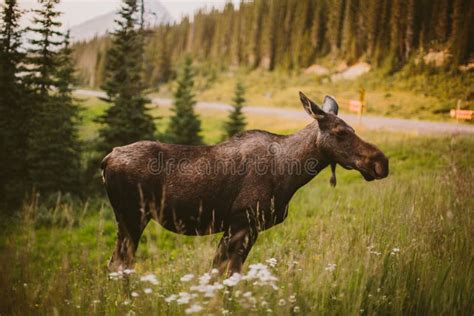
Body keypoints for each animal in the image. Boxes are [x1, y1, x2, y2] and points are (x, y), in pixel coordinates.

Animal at [101, 92, 388, 276]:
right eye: (340, 133)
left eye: (353, 128)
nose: (381, 162)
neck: (291, 174)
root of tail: (105, 160)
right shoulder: (241, 222)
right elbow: (225, 275)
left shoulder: (249, 228)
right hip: (131, 216)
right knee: (119, 265)